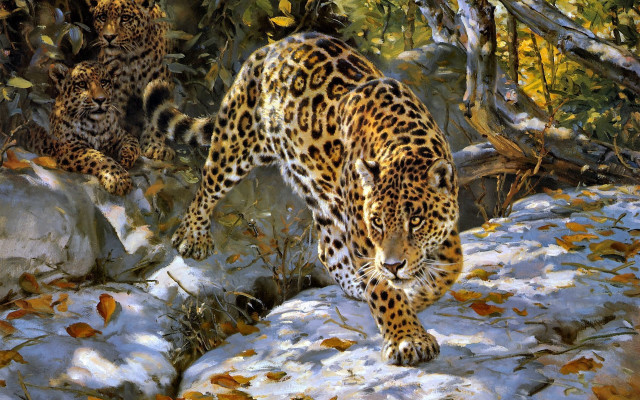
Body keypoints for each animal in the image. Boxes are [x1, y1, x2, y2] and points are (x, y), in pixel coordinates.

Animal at [18, 61, 140, 196]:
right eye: (82, 84)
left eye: (104, 82)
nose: (100, 99)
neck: (96, 124)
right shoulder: (70, 148)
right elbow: (98, 157)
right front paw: (119, 178)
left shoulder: (120, 134)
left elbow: (134, 144)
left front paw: (125, 158)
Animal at [84, 0, 175, 161]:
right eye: (102, 17)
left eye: (125, 18)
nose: (108, 37)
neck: (132, 56)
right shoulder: (115, 87)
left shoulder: (158, 78)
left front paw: (154, 146)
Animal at [144, 32, 463, 366]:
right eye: (376, 222)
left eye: (417, 220)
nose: (392, 265)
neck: (404, 144)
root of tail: (271, 47)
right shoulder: (364, 239)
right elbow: (386, 290)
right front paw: (406, 338)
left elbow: (450, 269)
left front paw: (414, 295)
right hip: (235, 144)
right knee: (207, 185)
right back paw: (192, 237)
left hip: (316, 189)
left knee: (328, 249)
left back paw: (357, 284)